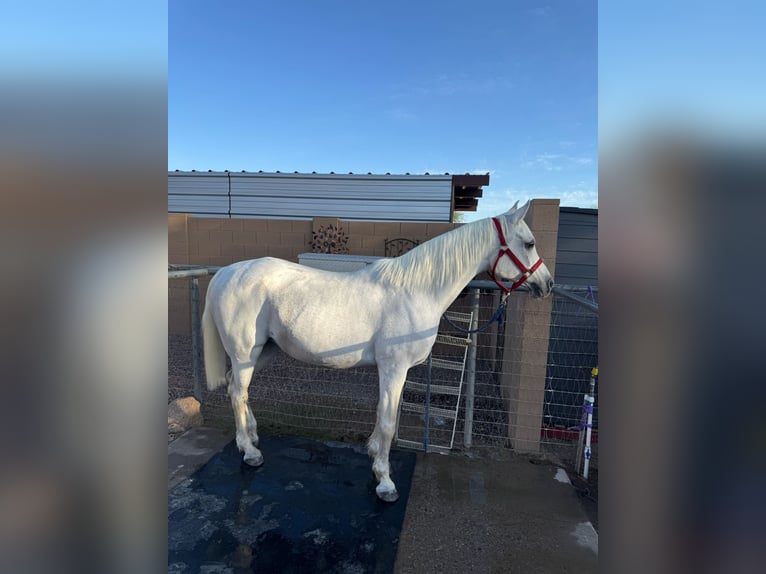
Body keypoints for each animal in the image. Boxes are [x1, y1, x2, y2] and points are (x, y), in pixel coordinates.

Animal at [201, 200, 553, 502]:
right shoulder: (393, 368)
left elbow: (389, 418)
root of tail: (225, 274)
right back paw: (250, 453)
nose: (547, 284)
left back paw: (252, 436)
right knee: (238, 393)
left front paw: (375, 458)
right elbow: (387, 421)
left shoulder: (398, 371)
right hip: (245, 353)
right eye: (529, 243)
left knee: (237, 389)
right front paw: (385, 482)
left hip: (262, 353)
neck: (417, 290)